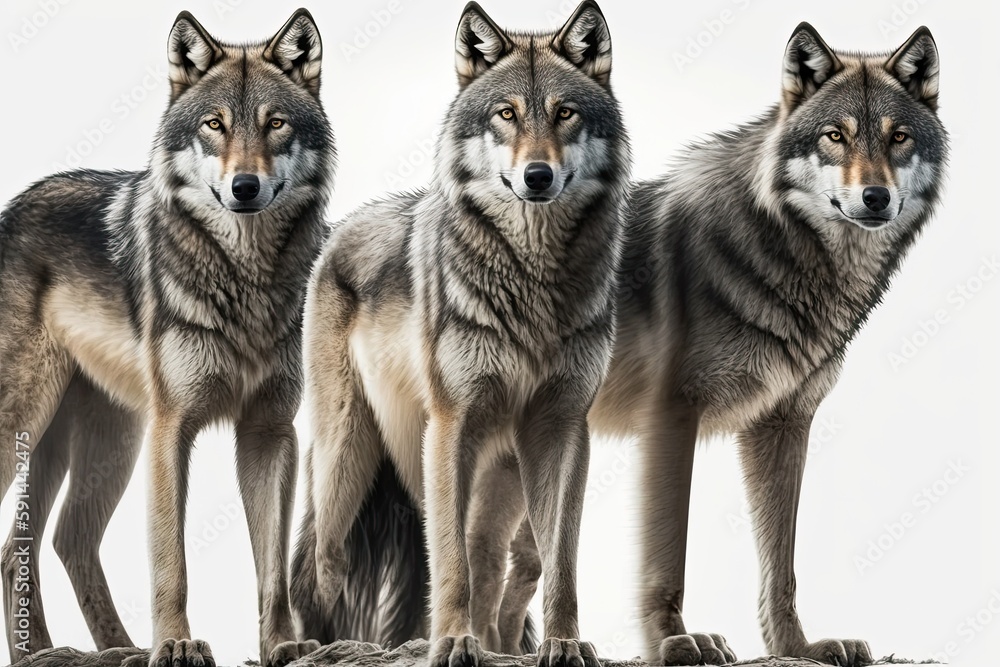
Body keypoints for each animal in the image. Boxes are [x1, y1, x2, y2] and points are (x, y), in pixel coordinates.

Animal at [0, 9, 335, 667]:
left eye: (275, 123)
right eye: (214, 124)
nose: (245, 187)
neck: (246, 281)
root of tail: (9, 211)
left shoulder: (269, 431)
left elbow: (274, 568)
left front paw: (283, 645)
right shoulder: (170, 428)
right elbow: (170, 562)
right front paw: (177, 644)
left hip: (105, 439)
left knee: (57, 540)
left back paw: (97, 650)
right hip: (36, 424)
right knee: (32, 544)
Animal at [290, 2, 629, 666]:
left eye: (565, 112)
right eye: (507, 114)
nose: (537, 175)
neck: (533, 283)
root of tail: (341, 229)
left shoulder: (563, 429)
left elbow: (561, 562)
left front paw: (564, 644)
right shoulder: (451, 425)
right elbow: (447, 562)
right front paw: (450, 643)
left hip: (496, 484)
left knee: (495, 565)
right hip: (348, 464)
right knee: (322, 563)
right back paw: (310, 645)